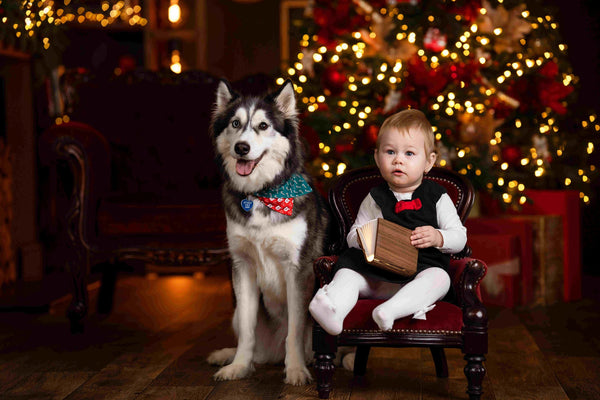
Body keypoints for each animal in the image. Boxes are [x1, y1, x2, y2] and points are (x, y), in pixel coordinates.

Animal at [205, 79, 328, 384]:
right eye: (235, 123)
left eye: (263, 125)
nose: (241, 148)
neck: (262, 194)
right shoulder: (243, 267)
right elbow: (248, 330)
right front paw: (238, 365)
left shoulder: (299, 270)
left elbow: (295, 330)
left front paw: (296, 369)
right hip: (236, 313)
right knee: (256, 347)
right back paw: (228, 355)